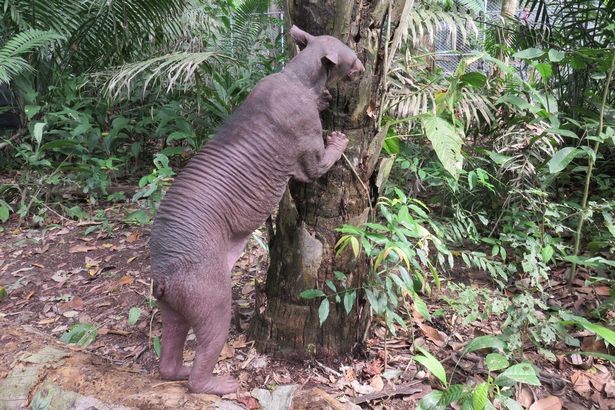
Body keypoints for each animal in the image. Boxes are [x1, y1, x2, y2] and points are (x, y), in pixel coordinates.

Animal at [149, 25, 366, 394]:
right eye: (350, 55)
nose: (363, 67)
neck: (296, 77)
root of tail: (162, 273)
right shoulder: (308, 151)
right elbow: (321, 163)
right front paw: (338, 138)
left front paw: (325, 97)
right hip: (211, 299)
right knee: (199, 372)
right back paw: (221, 384)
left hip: (173, 308)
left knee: (168, 362)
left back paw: (177, 370)